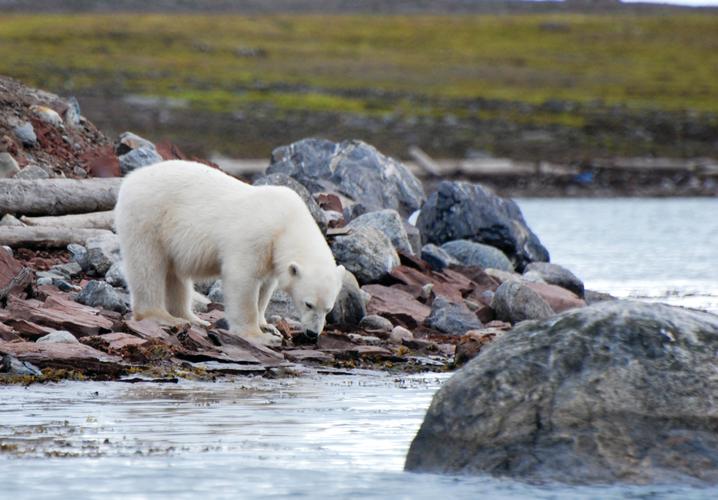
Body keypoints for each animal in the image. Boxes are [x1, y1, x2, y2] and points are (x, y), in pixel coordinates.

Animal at [115, 158, 346, 346]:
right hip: (149, 217)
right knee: (147, 266)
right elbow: (243, 280)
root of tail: (130, 179)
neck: (287, 222)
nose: (312, 333)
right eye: (308, 304)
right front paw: (260, 336)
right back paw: (162, 316)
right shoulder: (256, 237)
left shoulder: (271, 255)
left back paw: (191, 318)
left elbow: (265, 287)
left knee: (175, 275)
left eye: (328, 309)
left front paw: (267, 325)